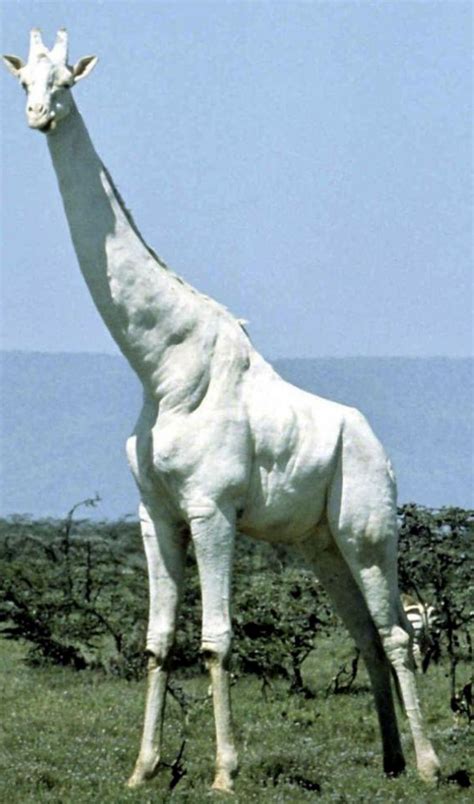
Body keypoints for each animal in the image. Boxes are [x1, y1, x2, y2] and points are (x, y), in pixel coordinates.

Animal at [3, 30, 440, 792]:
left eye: (67, 81)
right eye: (22, 78)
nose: (38, 116)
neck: (160, 366)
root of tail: (379, 448)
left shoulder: (211, 510)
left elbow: (214, 641)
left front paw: (225, 773)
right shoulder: (155, 512)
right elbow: (155, 642)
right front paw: (142, 769)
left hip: (368, 530)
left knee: (395, 634)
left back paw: (428, 766)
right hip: (321, 543)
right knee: (363, 633)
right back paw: (387, 762)